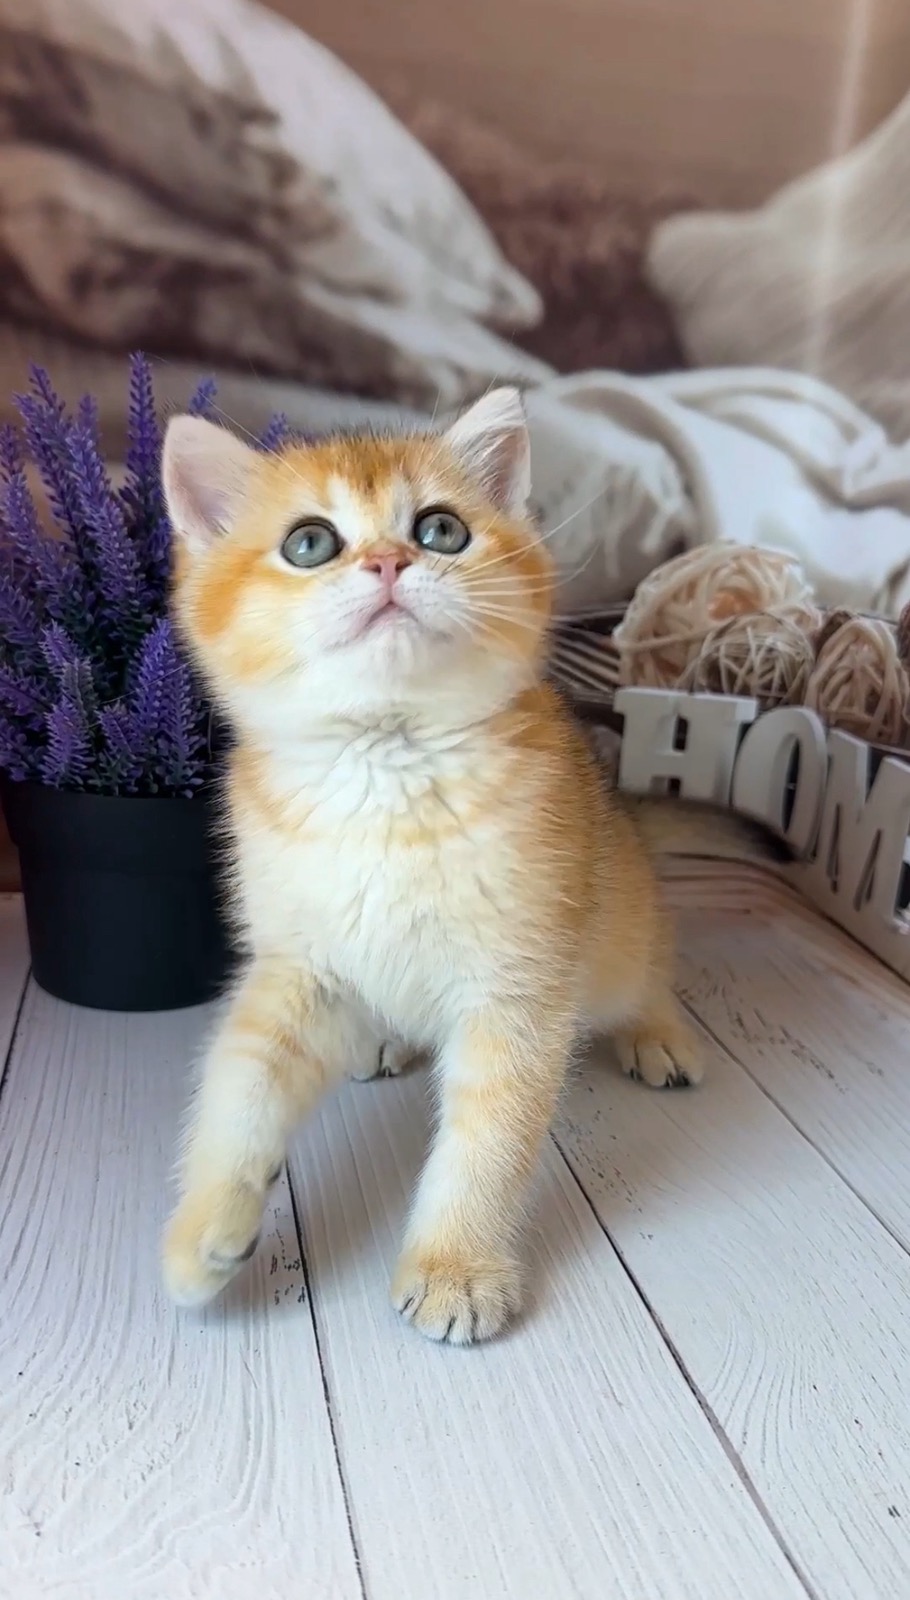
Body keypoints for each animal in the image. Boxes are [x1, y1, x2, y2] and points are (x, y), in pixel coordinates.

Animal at [159, 387, 709, 1345]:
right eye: (310, 543)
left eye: (441, 529)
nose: (387, 561)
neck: (387, 770)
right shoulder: (296, 967)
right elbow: (239, 1082)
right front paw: (203, 1231)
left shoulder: (516, 989)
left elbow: (485, 1144)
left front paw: (456, 1267)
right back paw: (383, 1037)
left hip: (617, 914)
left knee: (643, 964)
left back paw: (657, 1031)